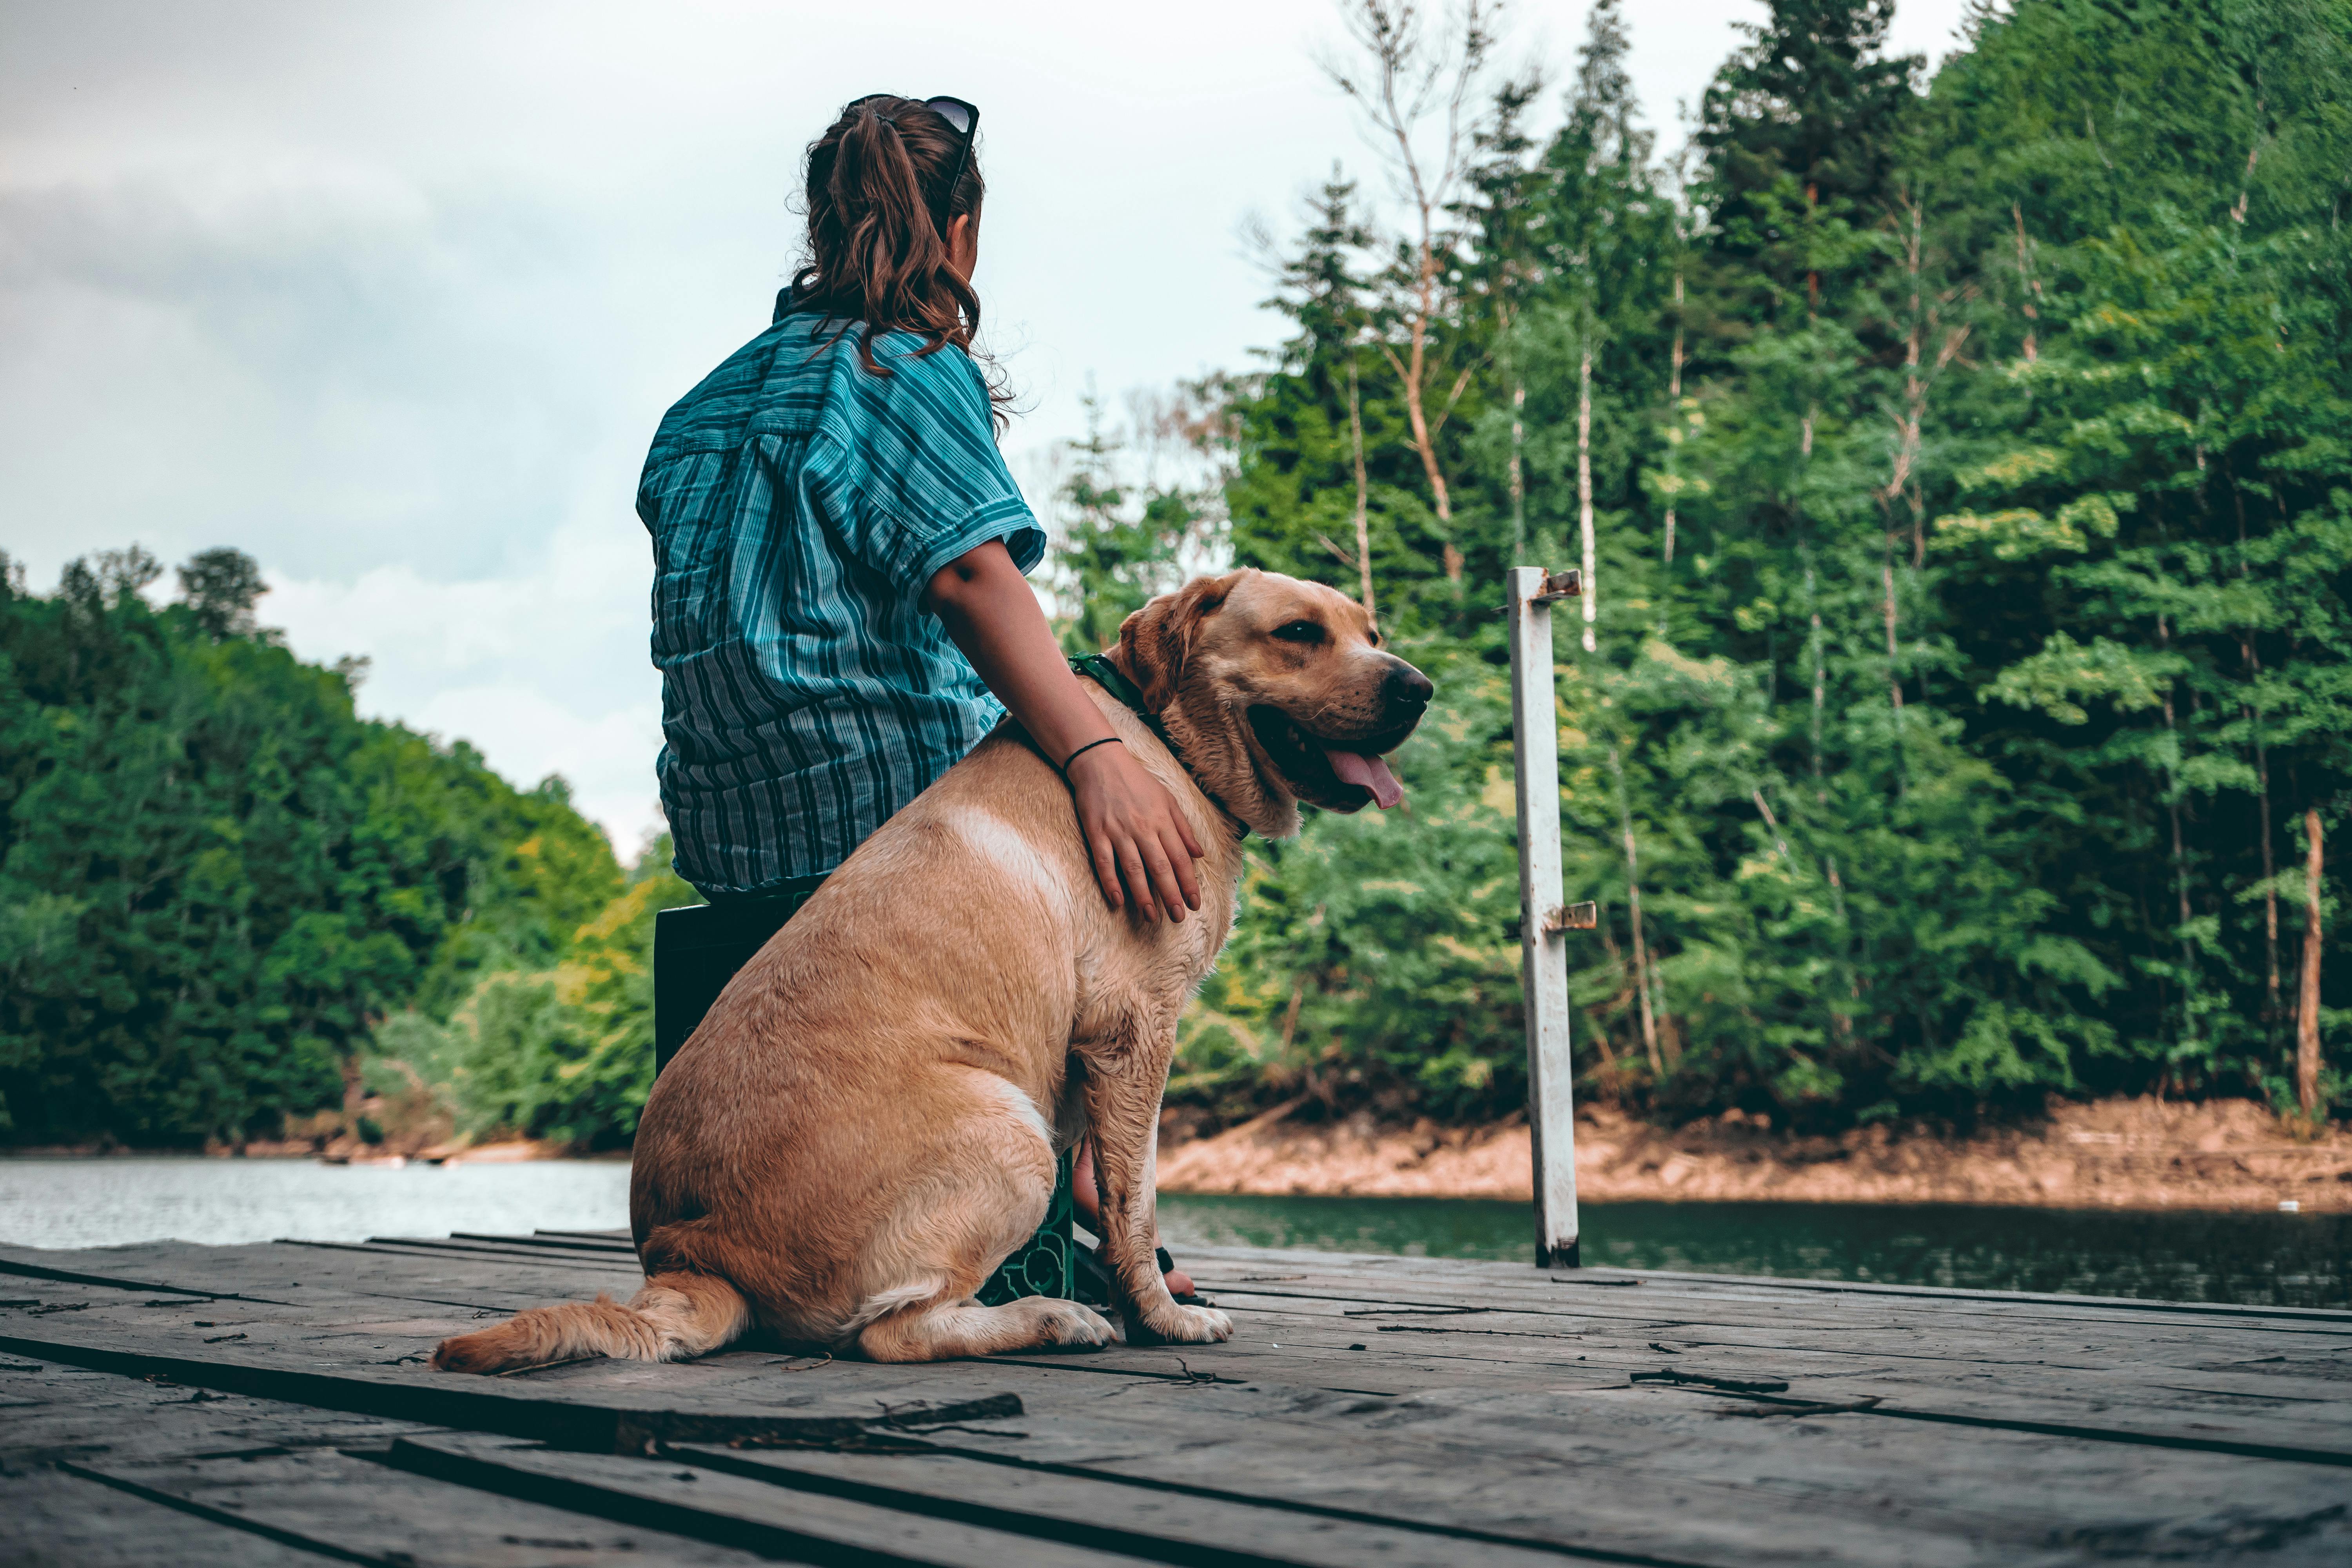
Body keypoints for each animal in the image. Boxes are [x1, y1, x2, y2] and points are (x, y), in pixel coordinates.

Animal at [437, 571, 1430, 1363]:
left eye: (1371, 631)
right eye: (1297, 632)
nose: (1418, 687)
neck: (1163, 740)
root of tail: (694, 1256)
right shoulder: (1135, 1031)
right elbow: (1137, 1202)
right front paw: (1161, 1317)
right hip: (1010, 1130)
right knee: (892, 1331)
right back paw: (1052, 1318)